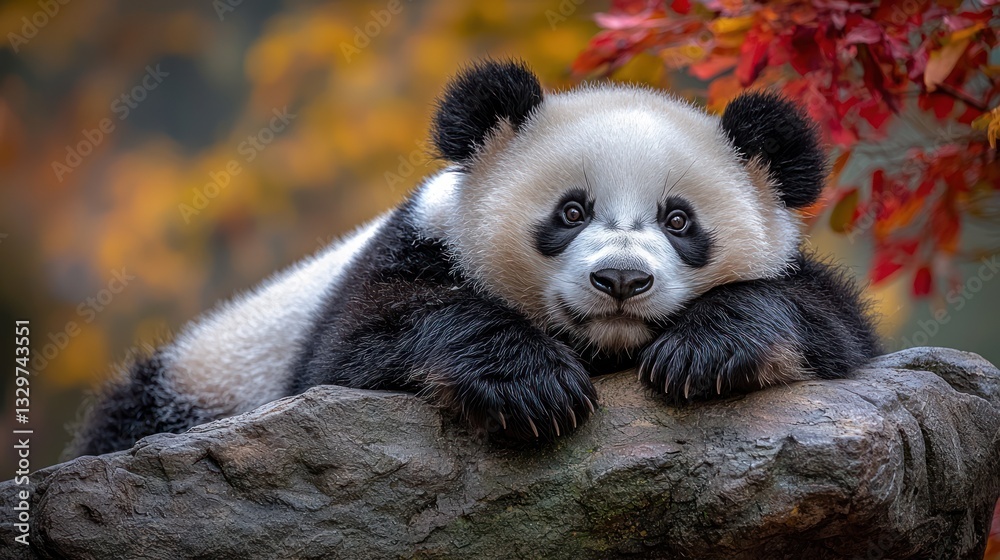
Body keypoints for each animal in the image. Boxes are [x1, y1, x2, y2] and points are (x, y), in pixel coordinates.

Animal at [69, 59, 880, 456]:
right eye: (571, 211)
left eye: (679, 220)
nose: (621, 279)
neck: (606, 350)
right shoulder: (414, 249)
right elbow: (355, 348)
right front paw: (532, 387)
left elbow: (829, 325)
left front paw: (703, 353)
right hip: (202, 378)